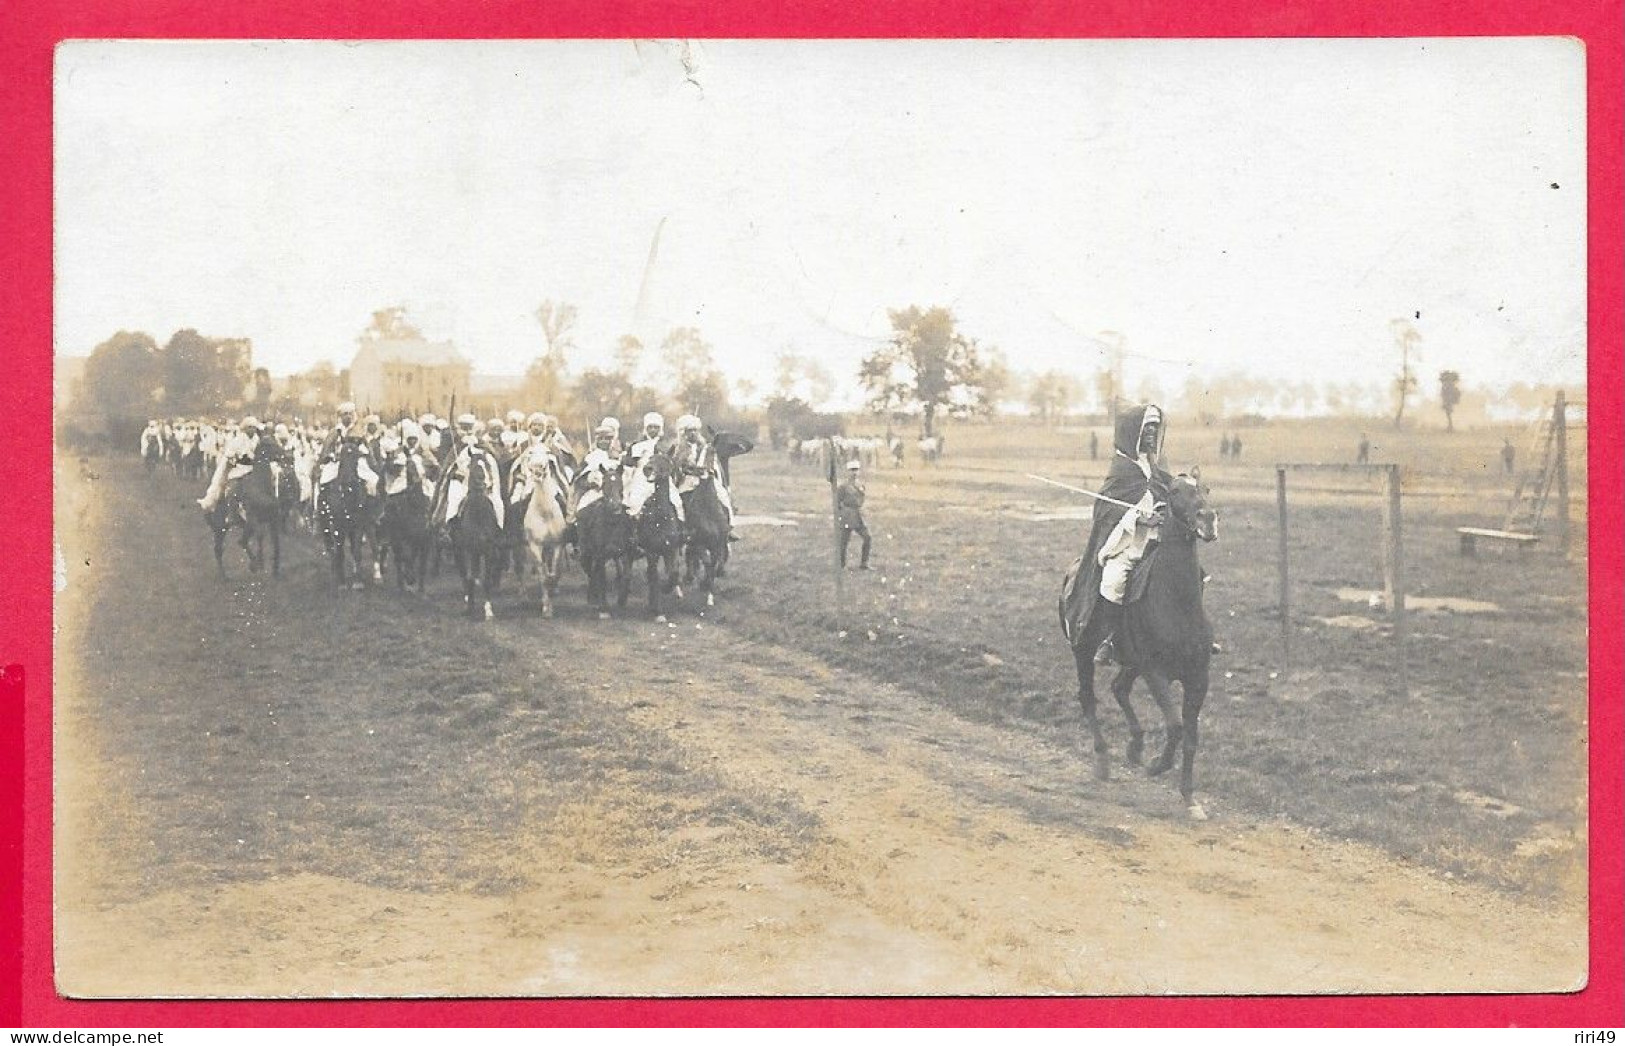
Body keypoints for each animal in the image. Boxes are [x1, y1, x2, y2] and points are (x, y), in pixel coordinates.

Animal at [313, 438, 373, 587]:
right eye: (342, 456)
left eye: (356, 458)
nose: (348, 480)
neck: (347, 495)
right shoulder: (338, 525)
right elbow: (340, 552)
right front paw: (341, 581)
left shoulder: (358, 525)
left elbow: (356, 551)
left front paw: (358, 581)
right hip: (326, 522)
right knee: (332, 548)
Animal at [578, 464, 633, 617]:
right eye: (604, 485)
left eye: (620, 484)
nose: (615, 507)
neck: (612, 524)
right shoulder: (600, 555)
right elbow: (601, 578)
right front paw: (604, 608)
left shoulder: (624, 552)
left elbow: (626, 575)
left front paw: (622, 599)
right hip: (585, 554)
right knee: (591, 572)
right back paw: (593, 598)